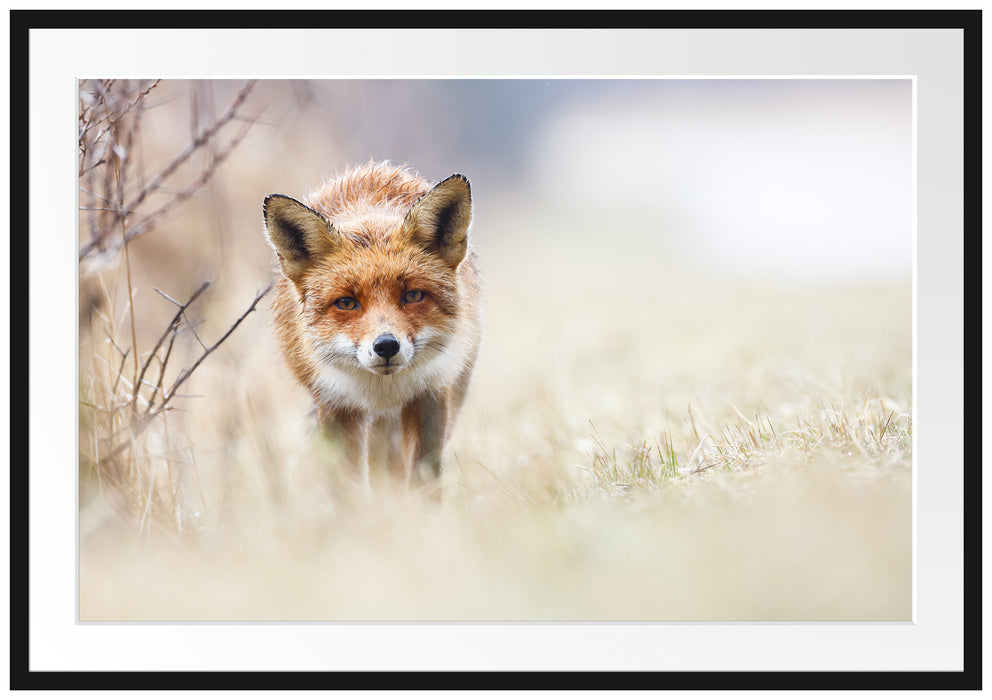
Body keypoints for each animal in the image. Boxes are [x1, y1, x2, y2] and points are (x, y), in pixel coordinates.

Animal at [263, 161, 482, 492]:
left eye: (413, 295)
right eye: (346, 302)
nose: (386, 346)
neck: (382, 390)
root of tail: (374, 168)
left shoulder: (430, 396)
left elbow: (423, 479)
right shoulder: (335, 405)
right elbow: (346, 486)